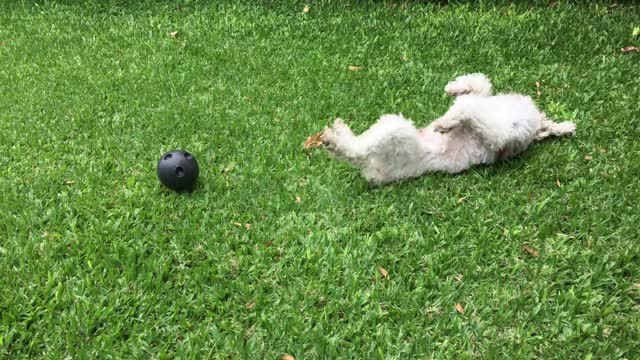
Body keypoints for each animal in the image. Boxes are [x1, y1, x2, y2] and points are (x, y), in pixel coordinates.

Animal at [322, 73, 576, 186]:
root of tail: (377, 171)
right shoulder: (488, 105)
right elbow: (480, 85)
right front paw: (454, 88)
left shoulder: (500, 137)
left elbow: (468, 108)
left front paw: (447, 121)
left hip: (397, 132)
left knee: (359, 150)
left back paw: (335, 138)